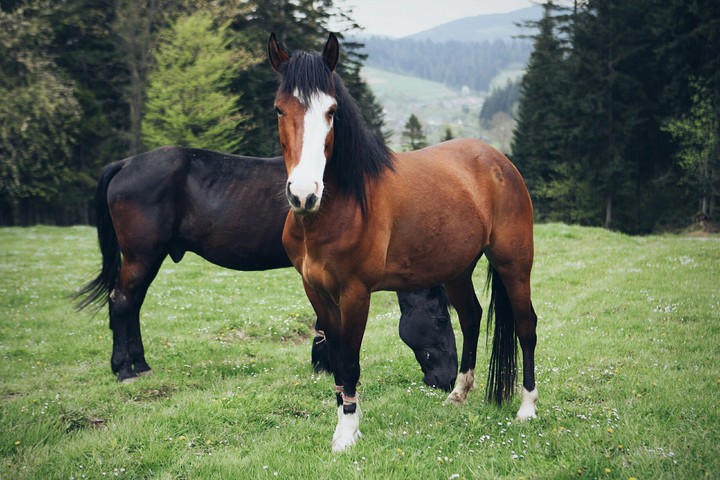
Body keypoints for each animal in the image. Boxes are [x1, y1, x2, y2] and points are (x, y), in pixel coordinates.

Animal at [74, 146, 458, 389]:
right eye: (441, 319)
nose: (448, 379)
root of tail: (125, 164)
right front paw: (328, 363)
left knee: (132, 304)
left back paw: (139, 363)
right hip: (142, 256)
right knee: (123, 302)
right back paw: (125, 369)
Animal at [268, 33, 538, 452]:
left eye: (331, 111)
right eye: (280, 110)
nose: (303, 193)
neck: (339, 205)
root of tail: (498, 161)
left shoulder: (355, 293)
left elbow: (350, 359)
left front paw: (347, 433)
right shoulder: (316, 290)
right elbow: (336, 356)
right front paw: (344, 422)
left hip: (514, 263)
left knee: (526, 325)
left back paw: (527, 407)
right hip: (457, 270)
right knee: (472, 317)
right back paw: (458, 393)